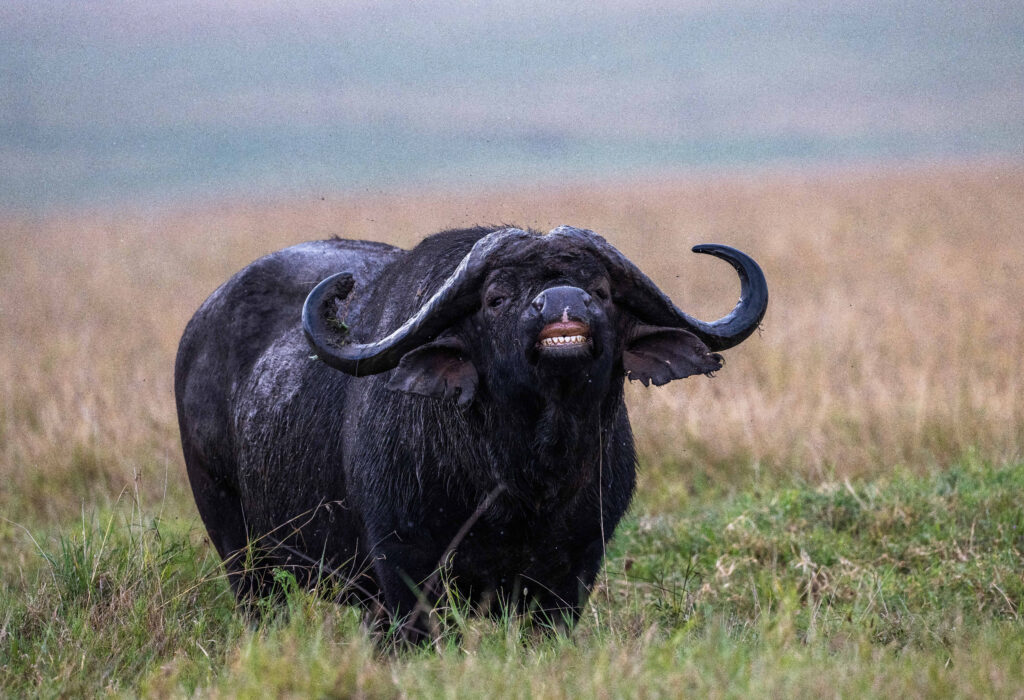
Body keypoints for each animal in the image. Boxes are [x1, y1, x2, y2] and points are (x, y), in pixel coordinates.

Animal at [174, 225, 767, 641]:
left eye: (600, 289)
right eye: (496, 297)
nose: (563, 303)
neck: (524, 479)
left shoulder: (572, 573)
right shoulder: (406, 573)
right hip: (239, 550)